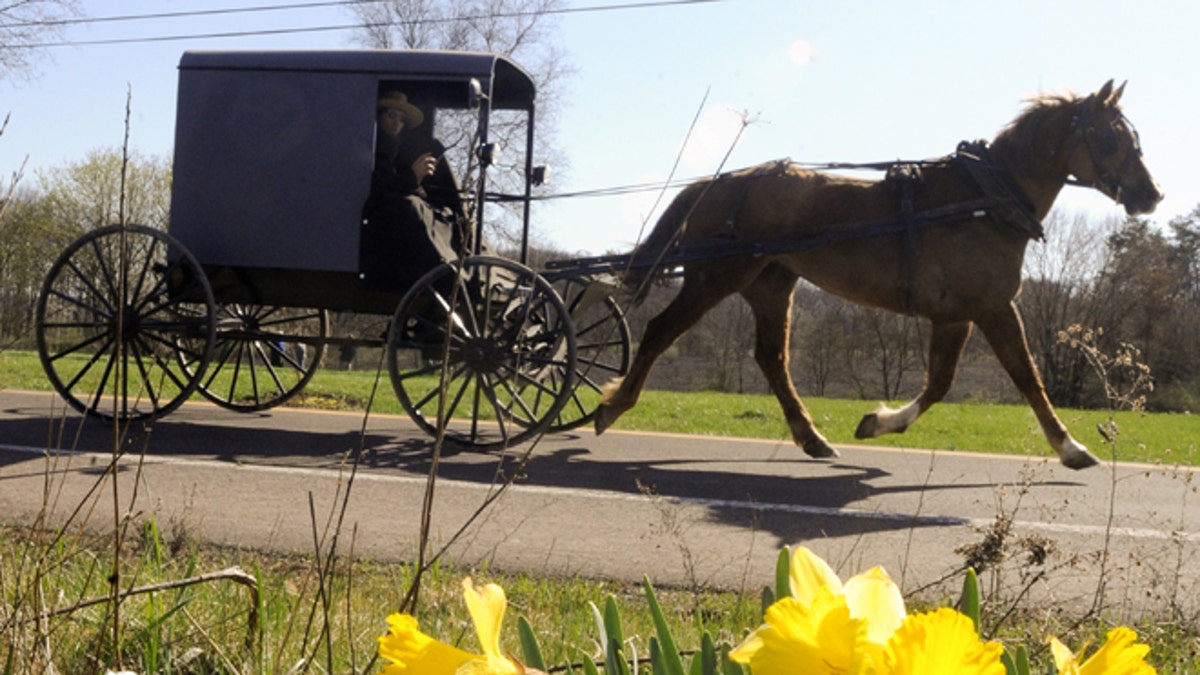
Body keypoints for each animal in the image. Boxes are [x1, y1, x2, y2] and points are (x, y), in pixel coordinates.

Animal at [600, 79, 1161, 468]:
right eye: (1110, 138)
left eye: (1132, 136)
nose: (1151, 193)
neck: (985, 199)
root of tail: (717, 182)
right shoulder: (992, 307)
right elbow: (1026, 377)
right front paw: (1071, 447)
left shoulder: (956, 315)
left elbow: (940, 383)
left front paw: (878, 422)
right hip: (715, 278)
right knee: (661, 331)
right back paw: (613, 406)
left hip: (771, 285)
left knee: (772, 358)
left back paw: (812, 438)